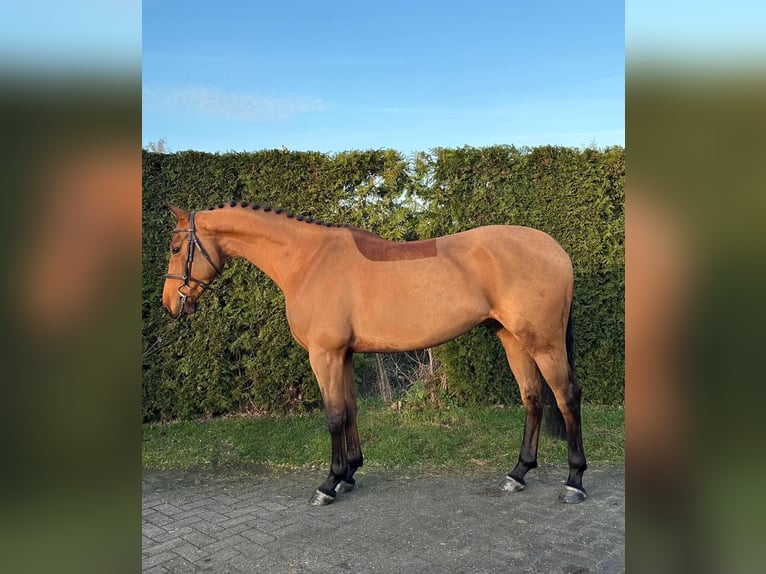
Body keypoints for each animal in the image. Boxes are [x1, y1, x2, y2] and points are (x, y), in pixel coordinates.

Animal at [161, 200, 587, 505]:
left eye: (177, 246)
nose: (170, 304)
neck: (309, 261)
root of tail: (556, 249)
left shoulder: (325, 355)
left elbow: (334, 415)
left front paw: (329, 484)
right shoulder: (344, 355)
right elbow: (350, 410)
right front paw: (349, 474)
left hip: (544, 343)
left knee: (566, 397)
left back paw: (574, 482)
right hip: (513, 339)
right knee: (532, 398)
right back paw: (518, 474)